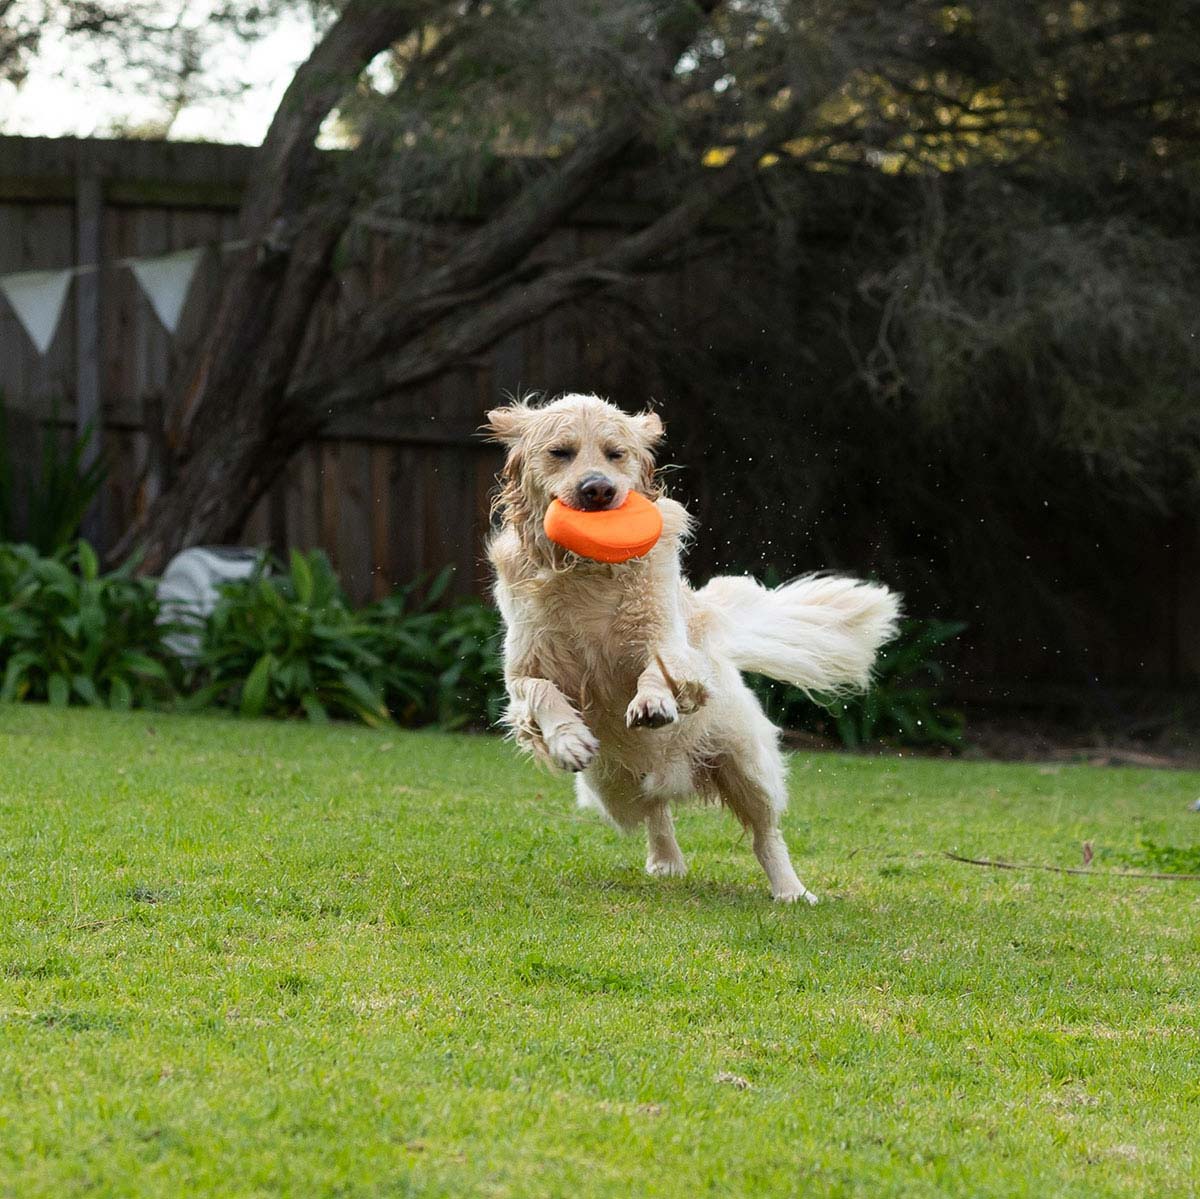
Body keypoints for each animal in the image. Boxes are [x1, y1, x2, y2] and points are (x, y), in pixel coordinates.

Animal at [487, 393, 902, 902]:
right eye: (561, 452)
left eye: (615, 454)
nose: (598, 490)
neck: (587, 571)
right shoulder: (523, 668)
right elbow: (541, 692)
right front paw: (568, 740)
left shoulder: (669, 642)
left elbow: (657, 667)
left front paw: (652, 702)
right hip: (611, 787)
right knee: (654, 808)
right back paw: (666, 860)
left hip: (745, 762)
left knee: (765, 833)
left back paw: (791, 890)